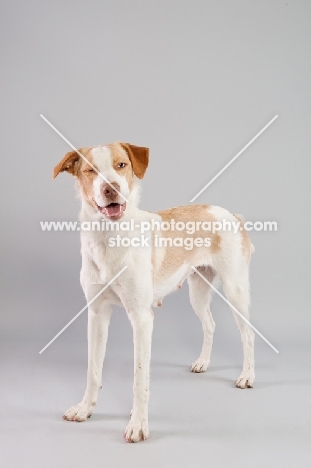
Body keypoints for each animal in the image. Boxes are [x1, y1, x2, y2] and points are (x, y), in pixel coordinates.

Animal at [53, 143, 256, 442]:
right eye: (90, 170)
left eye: (122, 165)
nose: (111, 188)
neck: (109, 238)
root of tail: (230, 214)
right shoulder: (97, 313)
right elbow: (93, 369)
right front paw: (85, 408)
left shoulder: (141, 319)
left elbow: (140, 378)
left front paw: (138, 424)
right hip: (197, 291)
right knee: (210, 324)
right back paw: (203, 363)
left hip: (235, 288)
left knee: (248, 333)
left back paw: (247, 376)